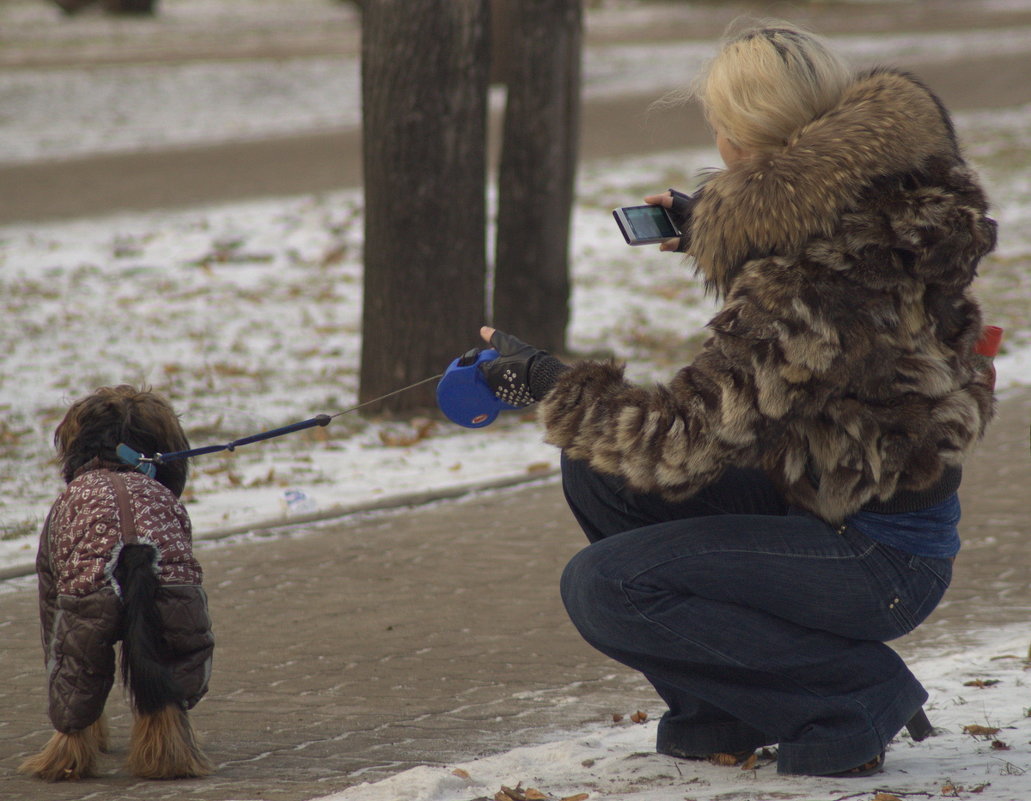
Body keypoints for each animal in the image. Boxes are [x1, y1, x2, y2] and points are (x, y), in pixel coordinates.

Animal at [19, 383, 213, 779]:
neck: (114, 459)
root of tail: (133, 544)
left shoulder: (50, 590)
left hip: (81, 621)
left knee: (75, 695)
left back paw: (62, 763)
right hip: (181, 614)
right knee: (170, 695)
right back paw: (170, 759)